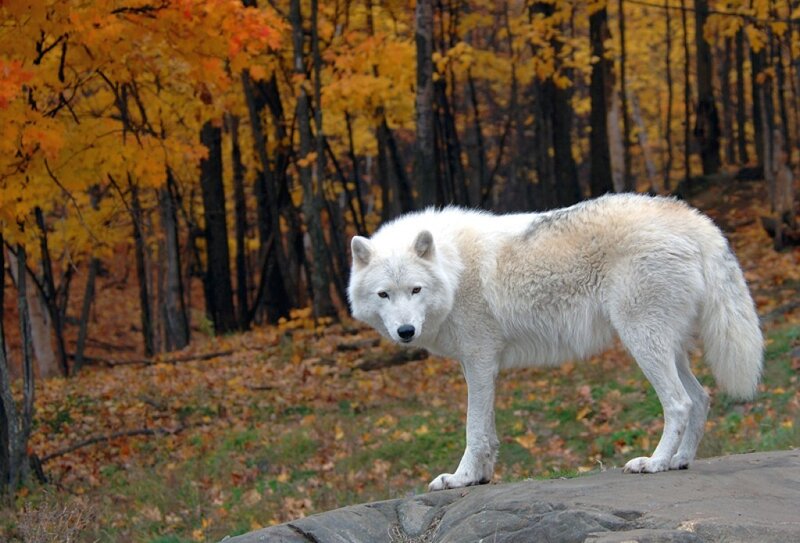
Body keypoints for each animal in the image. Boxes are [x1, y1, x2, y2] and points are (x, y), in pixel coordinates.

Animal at [347, 193, 763, 491]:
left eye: (416, 290)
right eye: (384, 295)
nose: (405, 332)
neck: (454, 268)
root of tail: (692, 216)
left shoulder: (479, 360)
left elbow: (473, 429)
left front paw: (461, 479)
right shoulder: (481, 365)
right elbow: (489, 433)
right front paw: (481, 477)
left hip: (643, 342)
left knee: (679, 403)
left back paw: (656, 463)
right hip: (666, 346)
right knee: (701, 398)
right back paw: (681, 460)